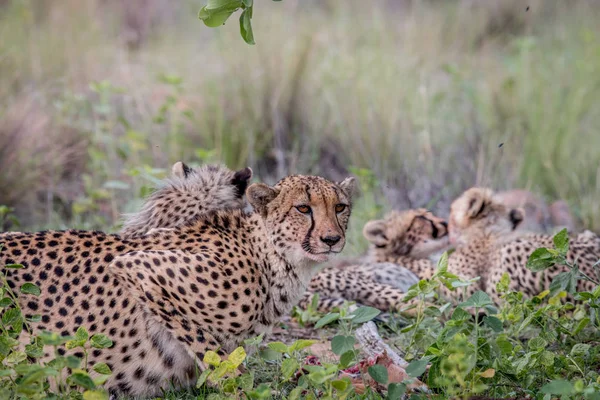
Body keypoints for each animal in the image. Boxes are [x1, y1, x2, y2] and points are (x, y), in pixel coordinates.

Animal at [0, 173, 356, 396]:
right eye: (303, 208)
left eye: (340, 207)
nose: (332, 239)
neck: (271, 255)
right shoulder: (140, 268)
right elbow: (215, 356)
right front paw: (239, 389)